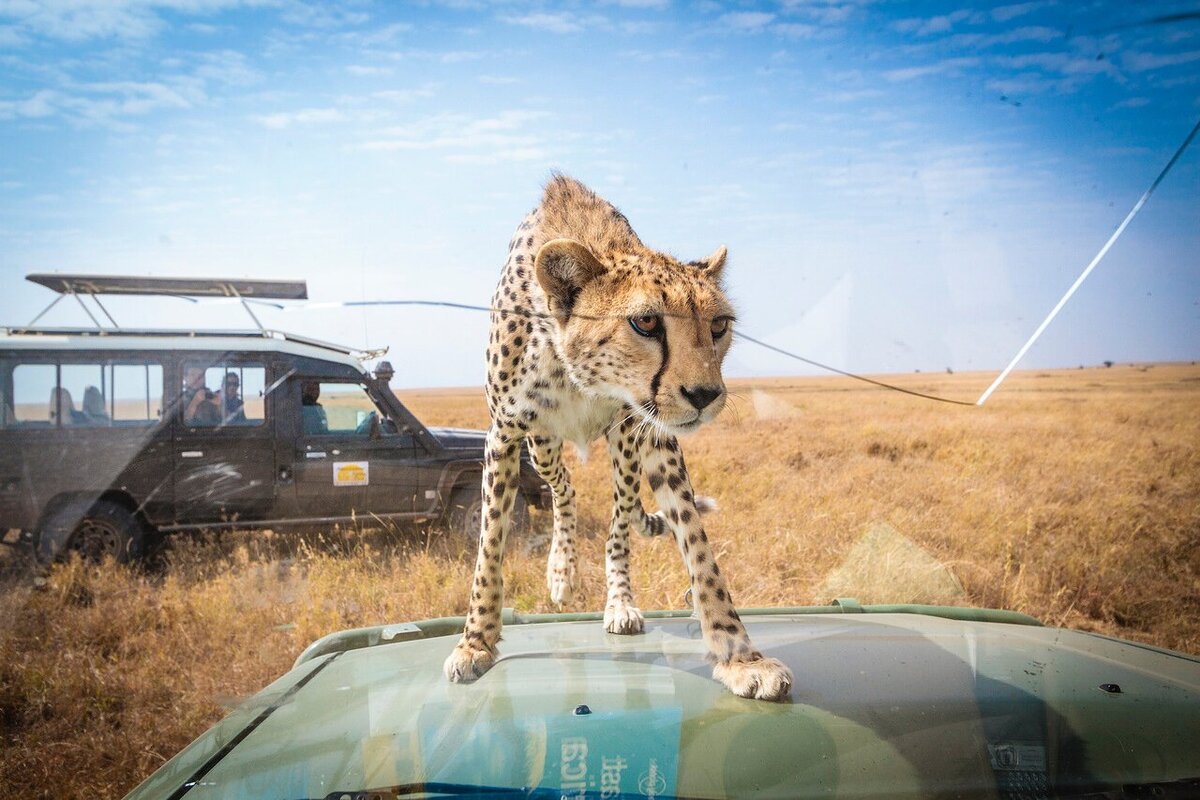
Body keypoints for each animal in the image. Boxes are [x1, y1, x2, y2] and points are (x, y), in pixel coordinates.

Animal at [446, 175, 792, 700]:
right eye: (645, 321)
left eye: (718, 326)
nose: (705, 394)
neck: (576, 372)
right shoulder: (504, 434)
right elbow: (488, 547)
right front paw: (475, 642)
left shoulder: (645, 429)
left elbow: (695, 545)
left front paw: (738, 654)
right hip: (542, 445)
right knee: (564, 488)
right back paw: (562, 569)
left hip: (628, 444)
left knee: (619, 521)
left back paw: (620, 601)